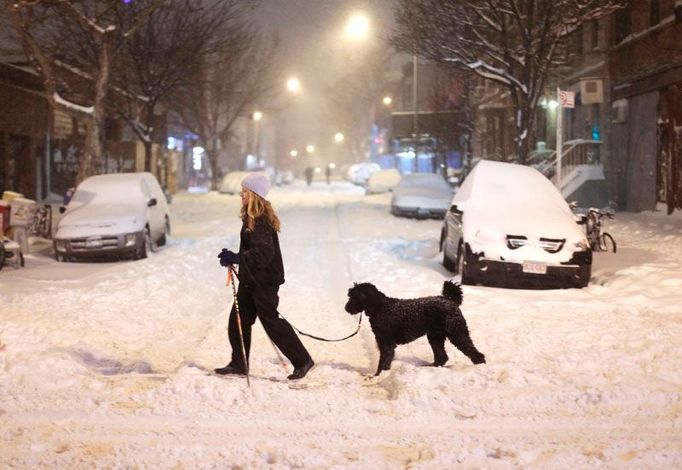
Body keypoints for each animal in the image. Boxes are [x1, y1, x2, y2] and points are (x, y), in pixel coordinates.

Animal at [346, 280, 484, 376]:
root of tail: (450, 300)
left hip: (457, 332)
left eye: (352, 297)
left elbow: (383, 362)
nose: (346, 308)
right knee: (442, 356)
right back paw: (431, 367)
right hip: (435, 336)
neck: (379, 307)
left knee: (474, 352)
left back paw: (480, 366)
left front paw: (378, 376)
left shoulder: (387, 344)